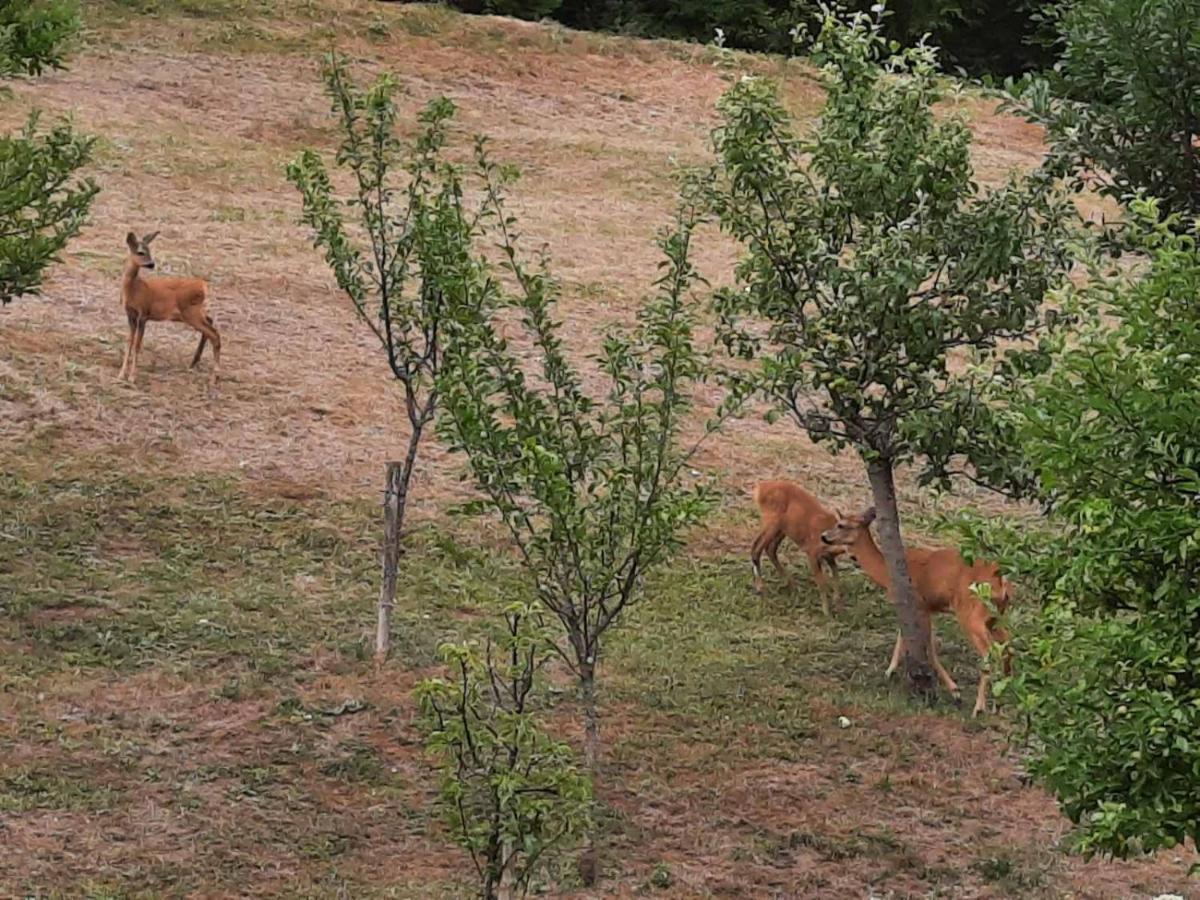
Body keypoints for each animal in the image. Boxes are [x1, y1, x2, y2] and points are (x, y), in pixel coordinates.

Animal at [119, 230, 220, 396]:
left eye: (149, 250)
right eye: (140, 252)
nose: (152, 264)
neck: (134, 289)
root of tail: (203, 286)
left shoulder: (143, 314)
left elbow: (137, 345)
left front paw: (132, 377)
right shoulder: (130, 314)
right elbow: (129, 342)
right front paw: (121, 375)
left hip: (190, 312)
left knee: (215, 334)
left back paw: (214, 378)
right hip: (194, 312)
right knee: (211, 323)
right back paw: (194, 363)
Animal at [748, 480, 854, 619]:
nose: (855, 557)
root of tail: (760, 488)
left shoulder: (829, 557)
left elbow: (836, 579)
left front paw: (839, 607)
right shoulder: (812, 553)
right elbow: (822, 583)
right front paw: (826, 612)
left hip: (782, 528)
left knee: (770, 549)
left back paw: (791, 584)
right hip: (772, 521)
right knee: (756, 547)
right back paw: (761, 587)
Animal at [816, 508, 1012, 720]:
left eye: (841, 525)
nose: (824, 536)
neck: (885, 572)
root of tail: (1000, 580)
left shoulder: (920, 604)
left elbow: (927, 647)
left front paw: (954, 690)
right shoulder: (923, 607)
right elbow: (905, 636)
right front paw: (889, 671)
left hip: (970, 612)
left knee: (989, 652)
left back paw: (979, 707)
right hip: (996, 615)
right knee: (1007, 647)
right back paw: (1000, 703)